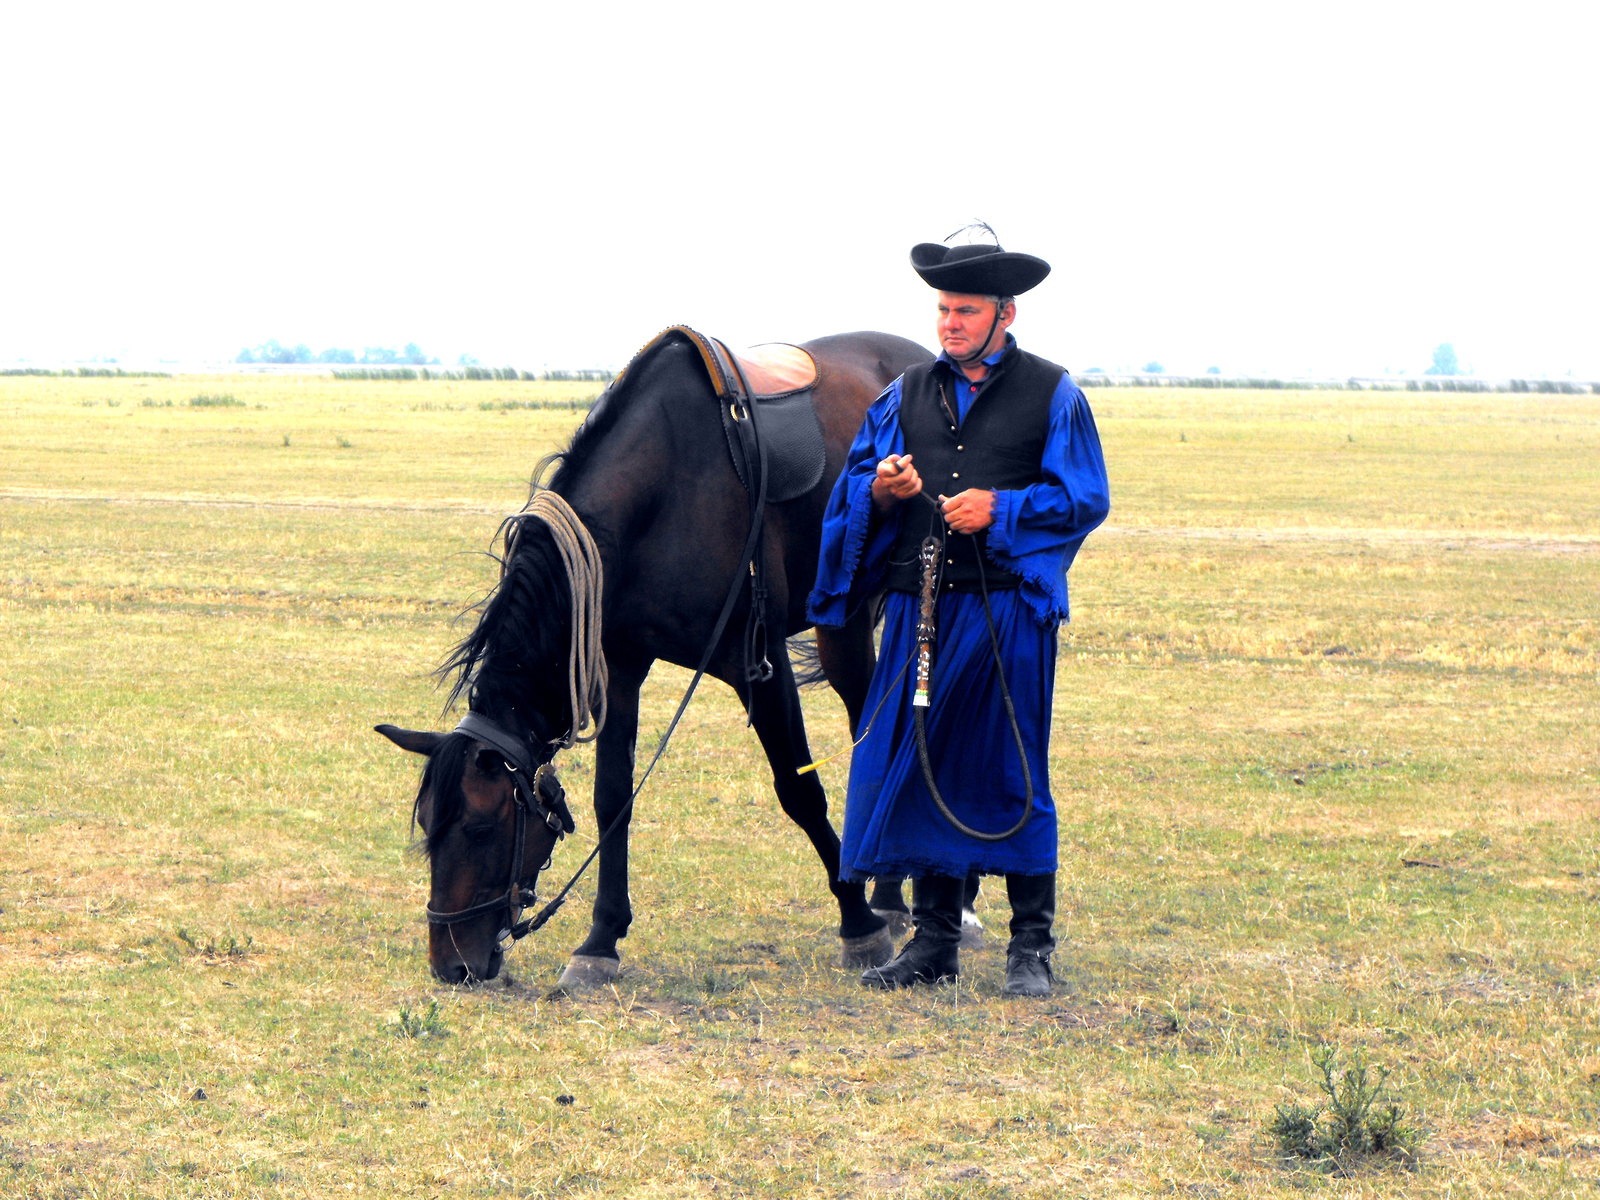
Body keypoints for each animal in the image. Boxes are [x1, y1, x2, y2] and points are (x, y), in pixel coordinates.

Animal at [376, 326, 934, 985]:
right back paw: (893, 896)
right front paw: (600, 940)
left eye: (481, 828)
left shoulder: (758, 664)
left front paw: (858, 924)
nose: (450, 964)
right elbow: (612, 796)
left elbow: (799, 791)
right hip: (842, 625)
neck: (663, 487)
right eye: (426, 827)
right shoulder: (620, 665)